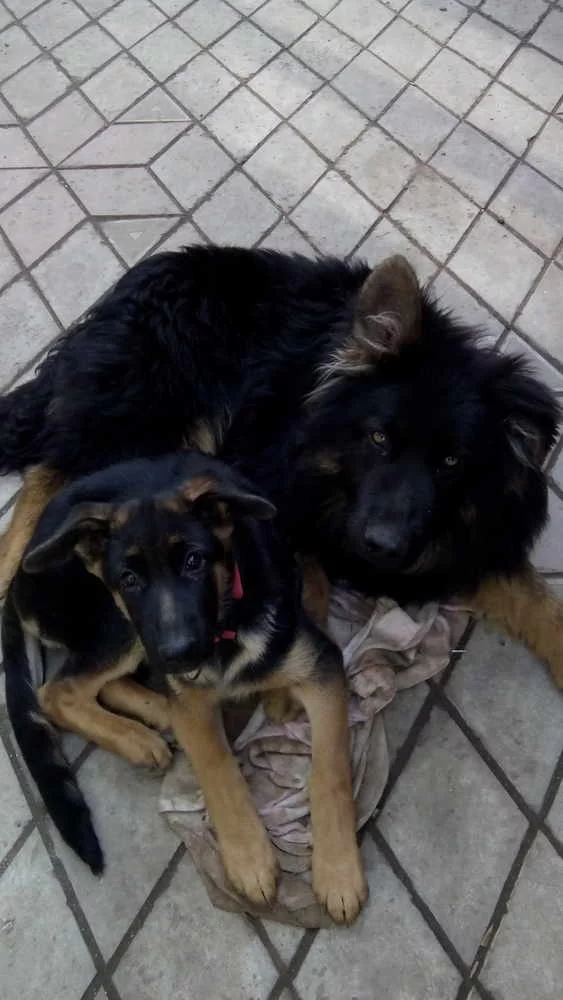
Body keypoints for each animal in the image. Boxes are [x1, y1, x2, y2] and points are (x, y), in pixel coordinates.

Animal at [0, 248, 561, 687]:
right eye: (379, 439)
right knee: (45, 481)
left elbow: (540, 603)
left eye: (451, 461)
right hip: (147, 419)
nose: (383, 547)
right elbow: (308, 583)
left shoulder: (472, 544)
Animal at [3, 451, 366, 923]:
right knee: (59, 691)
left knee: (96, 684)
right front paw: (250, 858)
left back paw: (154, 715)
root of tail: (17, 580)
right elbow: (216, 765)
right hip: (121, 622)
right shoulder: (191, 696)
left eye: (195, 561)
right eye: (130, 578)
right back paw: (141, 736)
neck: (227, 620)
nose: (180, 654)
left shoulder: (322, 666)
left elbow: (331, 768)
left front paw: (338, 873)